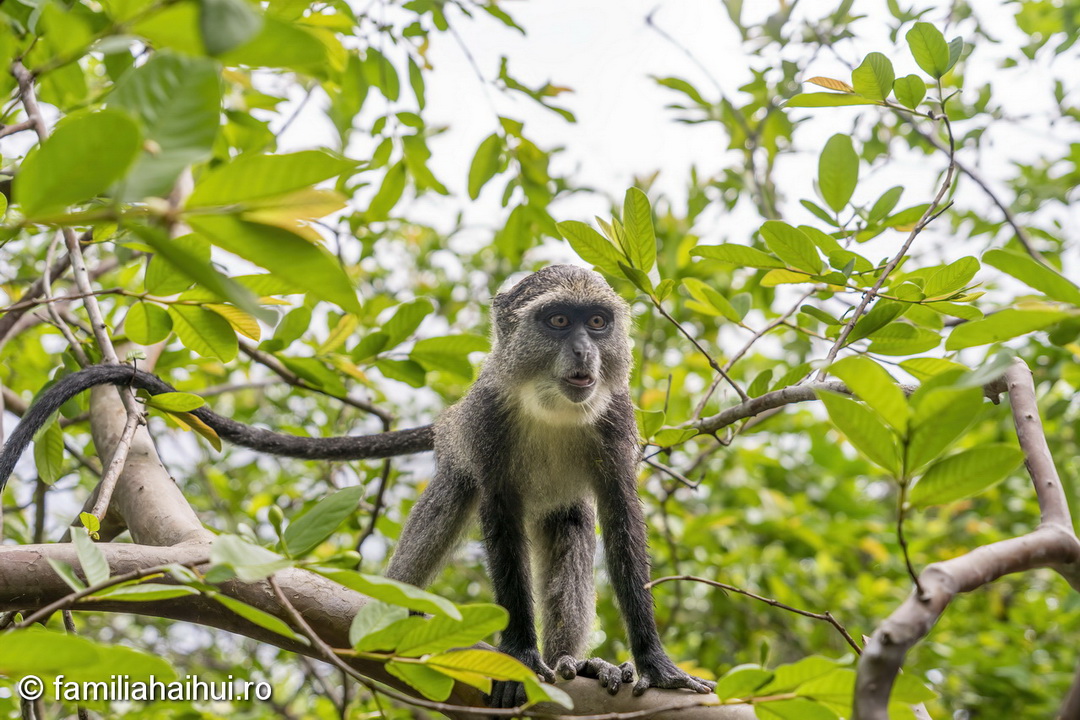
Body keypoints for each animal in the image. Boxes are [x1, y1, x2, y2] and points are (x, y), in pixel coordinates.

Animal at [0, 263, 717, 703]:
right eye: (558, 322)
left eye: (597, 322)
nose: (585, 356)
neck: (547, 405)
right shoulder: (488, 425)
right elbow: (497, 517)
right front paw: (517, 651)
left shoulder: (616, 422)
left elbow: (621, 521)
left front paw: (656, 665)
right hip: (460, 449)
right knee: (455, 498)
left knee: (568, 525)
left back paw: (575, 662)